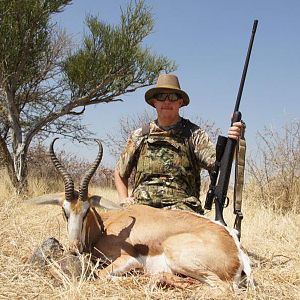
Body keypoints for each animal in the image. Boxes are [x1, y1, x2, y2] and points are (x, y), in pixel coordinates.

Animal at [31, 139, 253, 290]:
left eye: (86, 211)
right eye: (65, 211)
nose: (74, 248)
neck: (105, 229)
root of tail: (236, 250)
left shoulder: (129, 260)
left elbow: (101, 275)